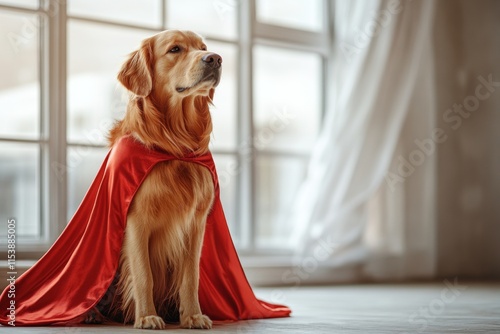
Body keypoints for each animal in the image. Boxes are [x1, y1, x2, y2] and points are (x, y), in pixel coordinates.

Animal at [102, 30, 222, 330]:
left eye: (203, 47)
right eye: (175, 49)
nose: (215, 58)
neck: (174, 146)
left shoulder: (196, 224)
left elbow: (191, 277)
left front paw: (192, 316)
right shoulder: (136, 220)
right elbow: (144, 273)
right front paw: (146, 316)